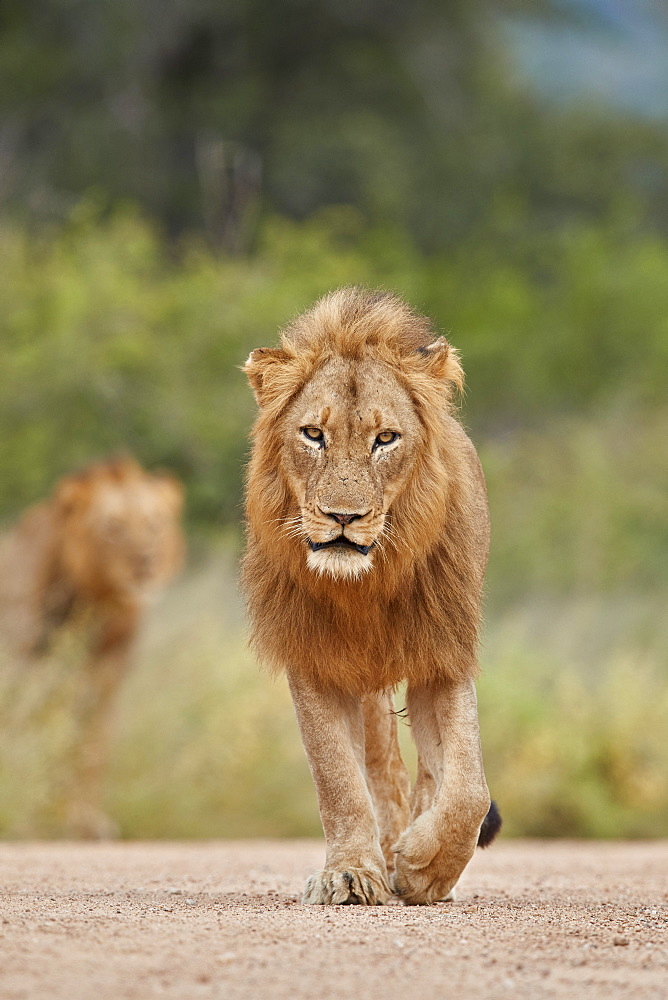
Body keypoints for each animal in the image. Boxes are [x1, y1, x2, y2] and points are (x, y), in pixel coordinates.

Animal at [0, 458, 185, 840]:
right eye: (113, 527)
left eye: (154, 524)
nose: (146, 562)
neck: (98, 606)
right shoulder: (29, 674)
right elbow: (39, 740)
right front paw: (35, 817)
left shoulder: (107, 673)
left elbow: (92, 746)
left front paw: (85, 820)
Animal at [243, 288, 498, 908]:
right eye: (314, 435)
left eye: (386, 439)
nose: (343, 517)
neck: (364, 586)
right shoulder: (314, 657)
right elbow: (338, 778)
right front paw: (352, 872)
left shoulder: (442, 653)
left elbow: (468, 791)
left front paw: (424, 869)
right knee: (381, 768)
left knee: (431, 776)